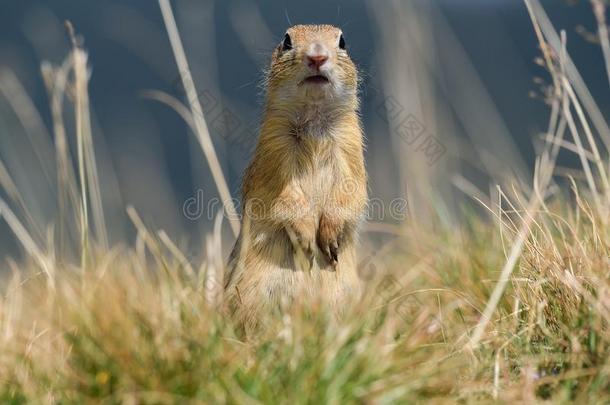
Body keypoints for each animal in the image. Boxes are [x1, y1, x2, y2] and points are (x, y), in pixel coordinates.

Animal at [223, 24, 366, 328]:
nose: (317, 57)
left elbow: (351, 192)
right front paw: (306, 238)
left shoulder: (351, 149)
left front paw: (329, 238)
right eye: (287, 41)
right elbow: (283, 198)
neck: (314, 120)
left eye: (343, 42)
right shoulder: (274, 151)